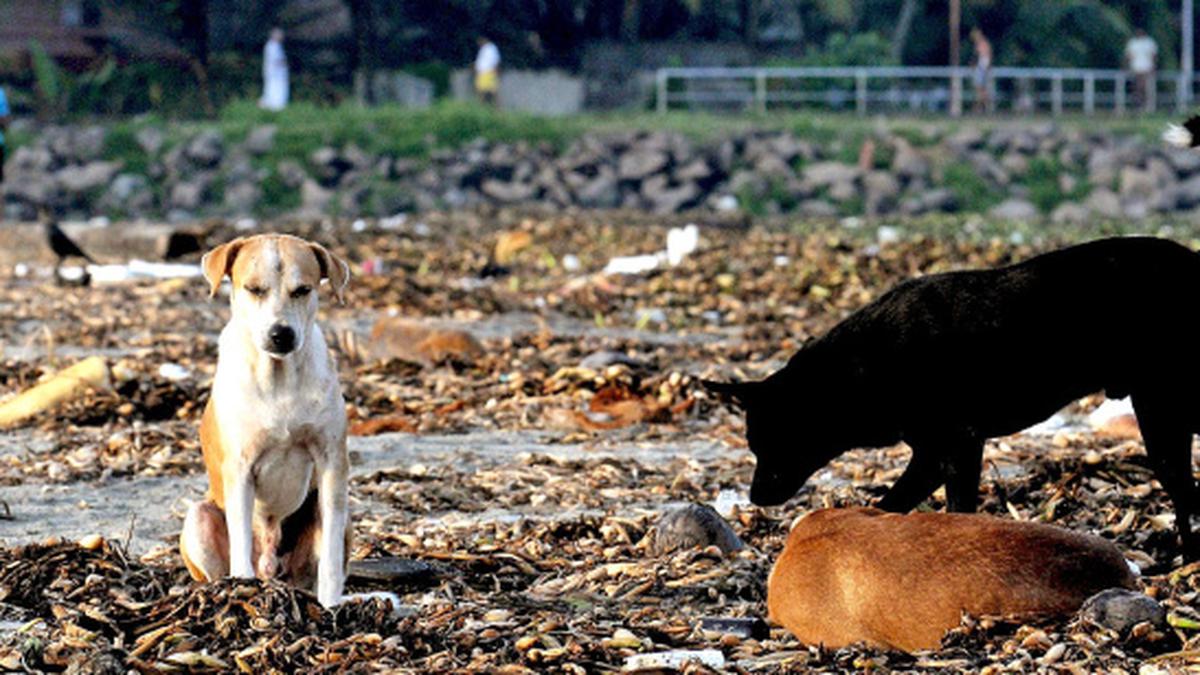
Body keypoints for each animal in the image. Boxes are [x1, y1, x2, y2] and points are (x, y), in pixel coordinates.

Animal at [177, 230, 355, 605]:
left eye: (302, 290)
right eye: (254, 289)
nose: (281, 333)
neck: (279, 377)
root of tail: (272, 572)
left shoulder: (332, 463)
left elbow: (331, 557)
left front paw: (332, 605)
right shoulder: (240, 468)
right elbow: (241, 538)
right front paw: (241, 588)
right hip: (199, 517)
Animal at [705, 239, 1200, 554]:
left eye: (775, 443)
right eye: (753, 446)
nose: (754, 497)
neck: (861, 369)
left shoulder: (958, 444)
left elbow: (955, 507)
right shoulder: (931, 453)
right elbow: (894, 502)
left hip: (1161, 408)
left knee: (1183, 488)